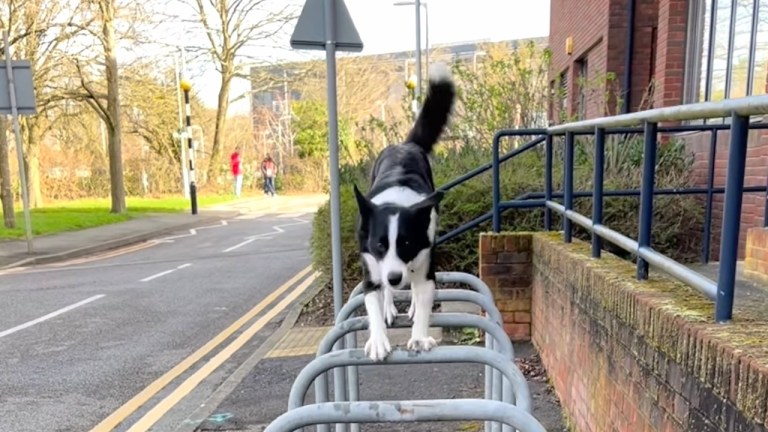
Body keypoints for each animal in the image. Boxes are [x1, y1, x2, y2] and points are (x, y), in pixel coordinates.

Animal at [354, 62, 456, 362]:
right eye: (379, 245)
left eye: (407, 243)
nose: (394, 278)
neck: (396, 201)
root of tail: (405, 145)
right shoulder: (371, 267)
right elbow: (373, 303)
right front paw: (378, 340)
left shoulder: (424, 262)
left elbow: (423, 300)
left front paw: (420, 336)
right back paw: (390, 305)